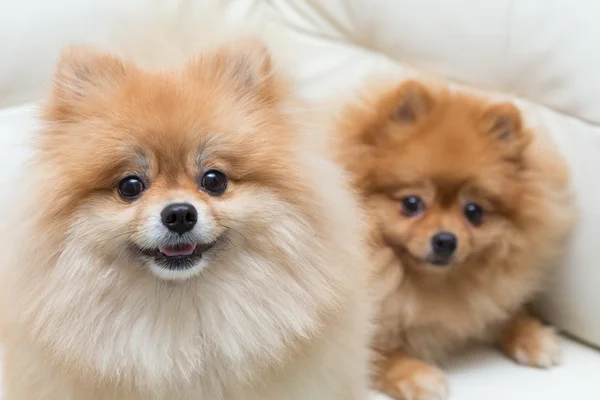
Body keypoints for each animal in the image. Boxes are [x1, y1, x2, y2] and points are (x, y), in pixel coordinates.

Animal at [336, 79, 576, 400]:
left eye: (474, 211)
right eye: (411, 203)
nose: (445, 240)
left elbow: (503, 310)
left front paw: (533, 336)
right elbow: (379, 351)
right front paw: (417, 375)